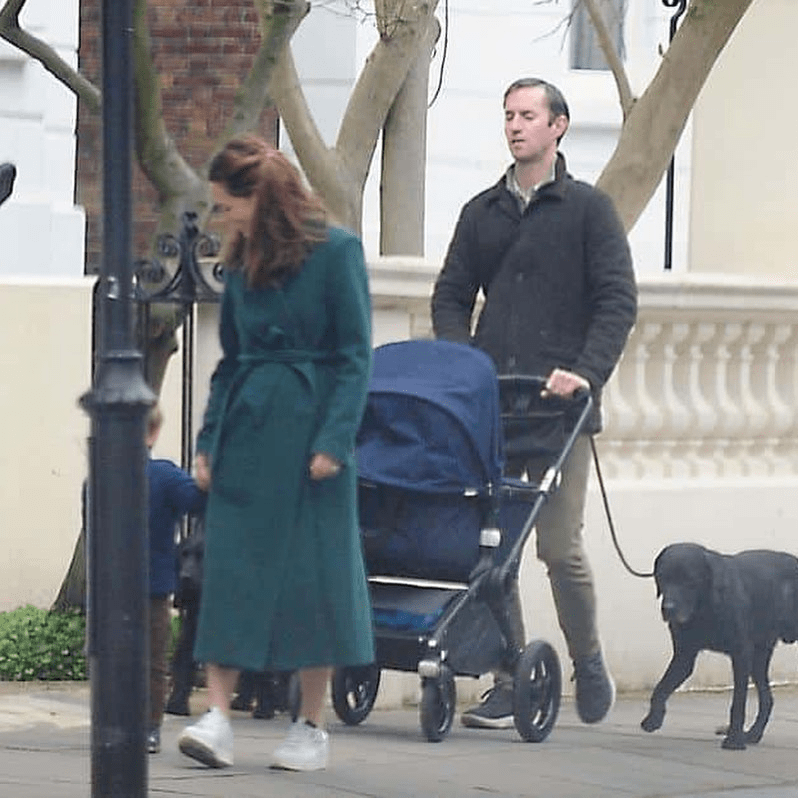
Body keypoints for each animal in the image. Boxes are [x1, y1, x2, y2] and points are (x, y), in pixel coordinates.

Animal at [640, 544, 798, 752]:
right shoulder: (684, 656)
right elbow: (661, 687)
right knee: (767, 699)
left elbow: (738, 703)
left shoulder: (741, 655)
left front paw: (734, 739)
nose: (668, 608)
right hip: (759, 658)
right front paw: (653, 718)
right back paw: (753, 734)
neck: (705, 606)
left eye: (689, 580)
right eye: (662, 577)